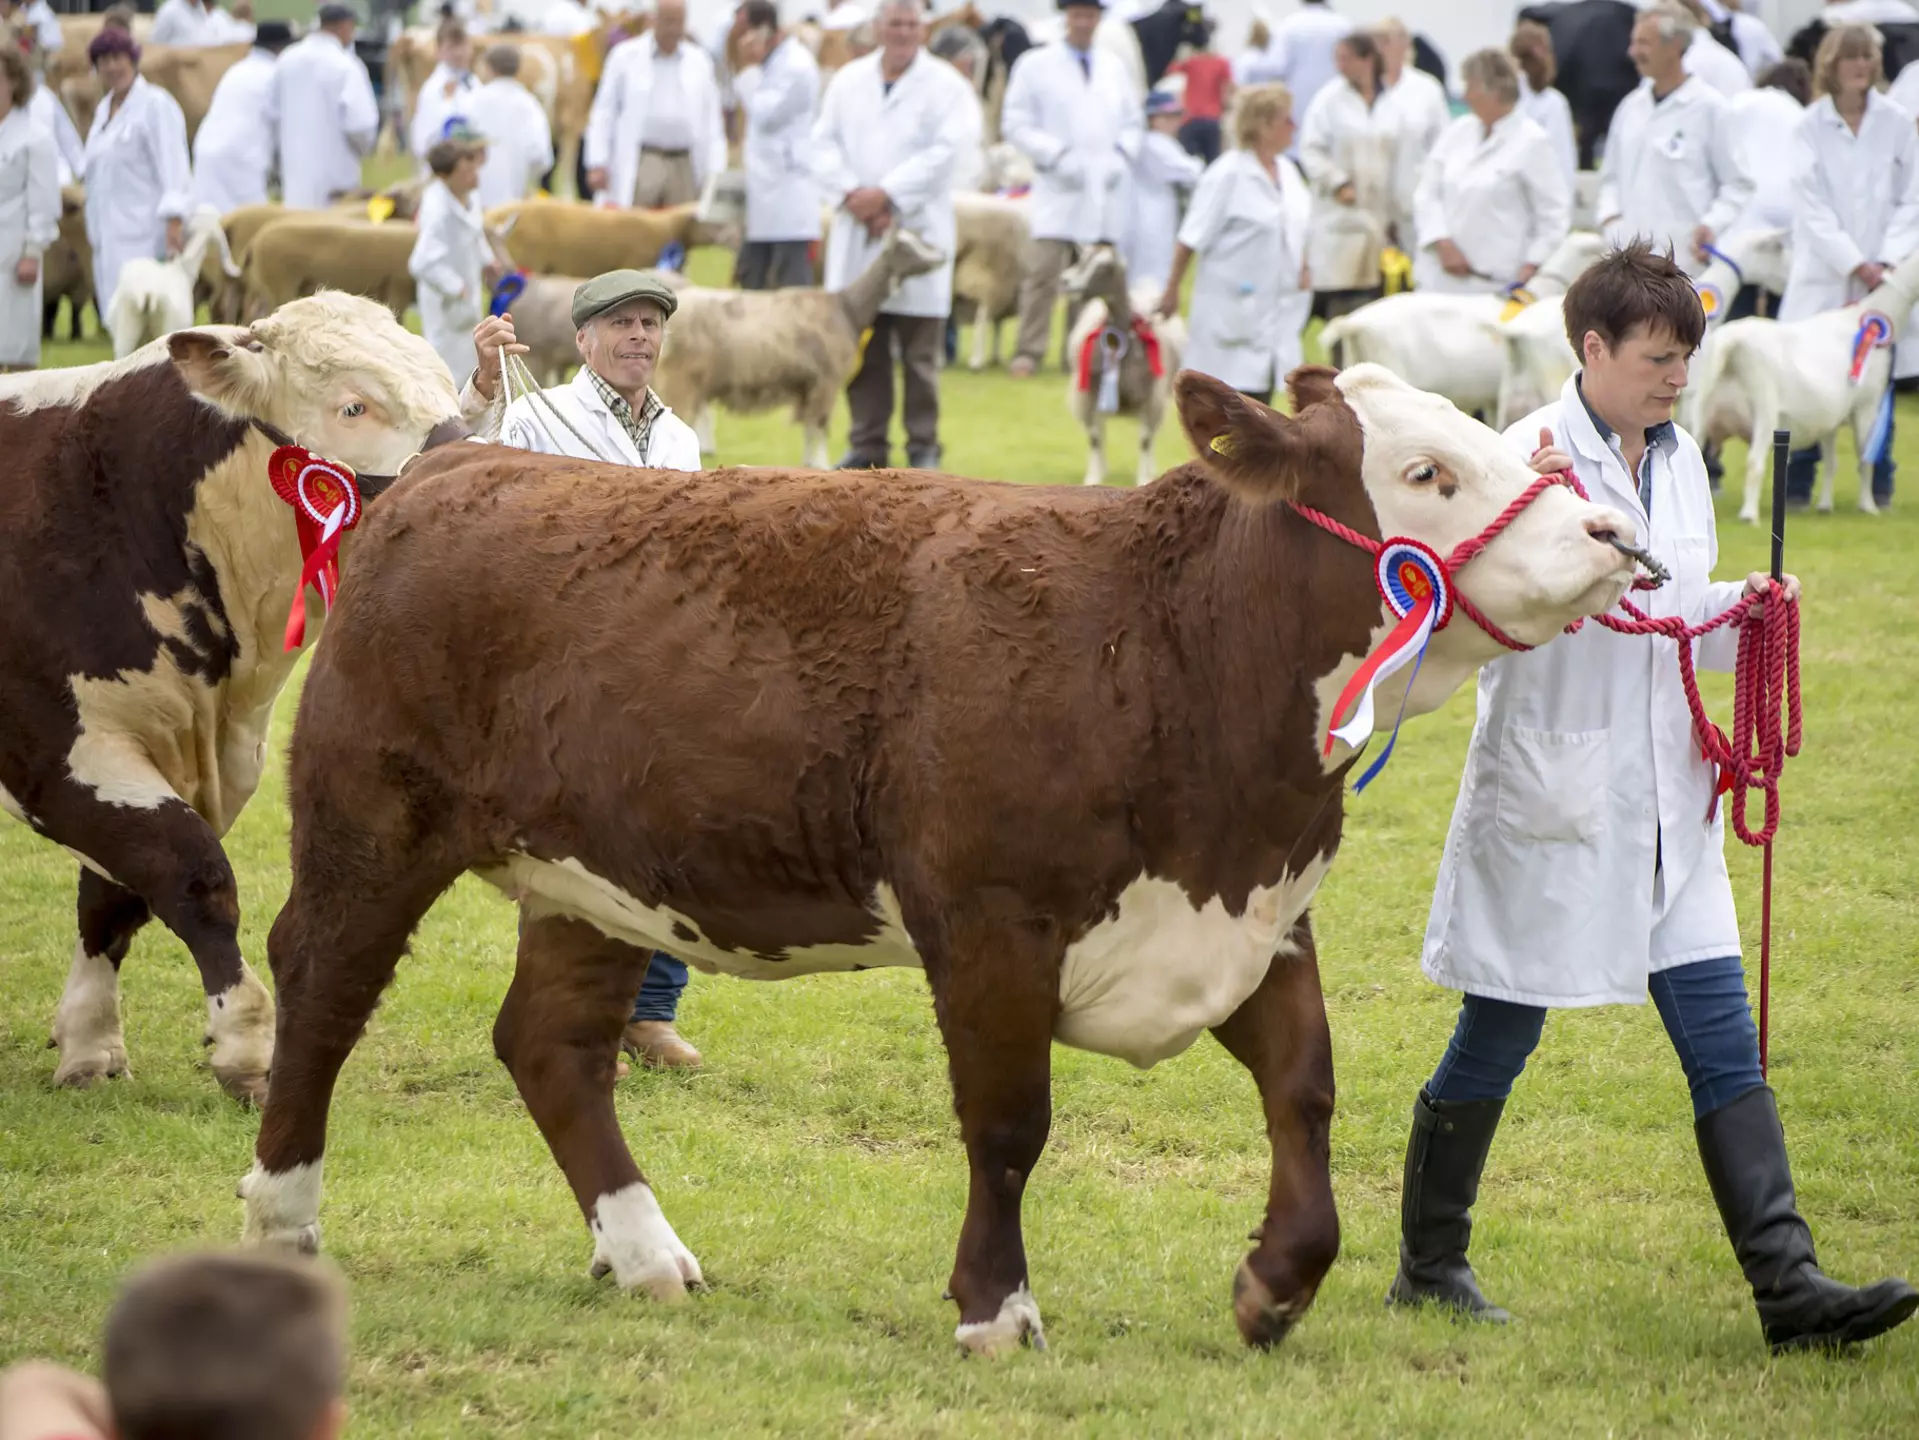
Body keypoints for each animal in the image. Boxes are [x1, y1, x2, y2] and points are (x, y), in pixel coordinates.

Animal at [0, 291, 466, 1105]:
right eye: (353, 404)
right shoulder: (57, 752)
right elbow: (193, 871)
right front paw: (246, 1045)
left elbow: (111, 898)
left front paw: (89, 1044)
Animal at [236, 361, 1642, 1355]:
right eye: (1426, 470)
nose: (1607, 537)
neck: (1160, 642)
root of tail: (451, 467)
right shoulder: (988, 923)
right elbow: (1010, 1123)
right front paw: (994, 1310)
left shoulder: (1246, 912)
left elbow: (1304, 1091)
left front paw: (1273, 1286)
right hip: (371, 822)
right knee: (321, 987)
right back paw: (282, 1219)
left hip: (594, 877)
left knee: (550, 1044)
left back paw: (644, 1255)